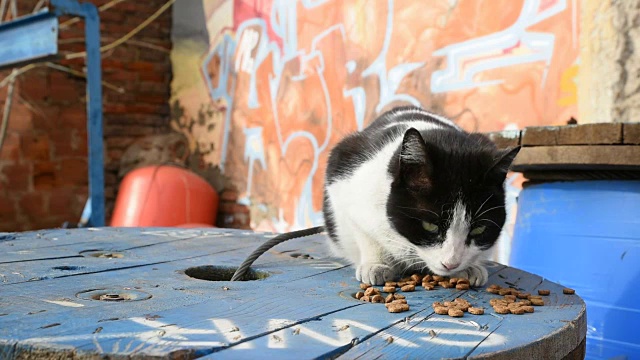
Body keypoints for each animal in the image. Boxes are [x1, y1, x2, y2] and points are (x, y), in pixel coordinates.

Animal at [322, 105, 516, 286]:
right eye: (430, 226)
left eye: (479, 229)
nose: (451, 264)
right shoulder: (346, 182)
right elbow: (365, 233)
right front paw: (376, 265)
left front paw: (471, 268)